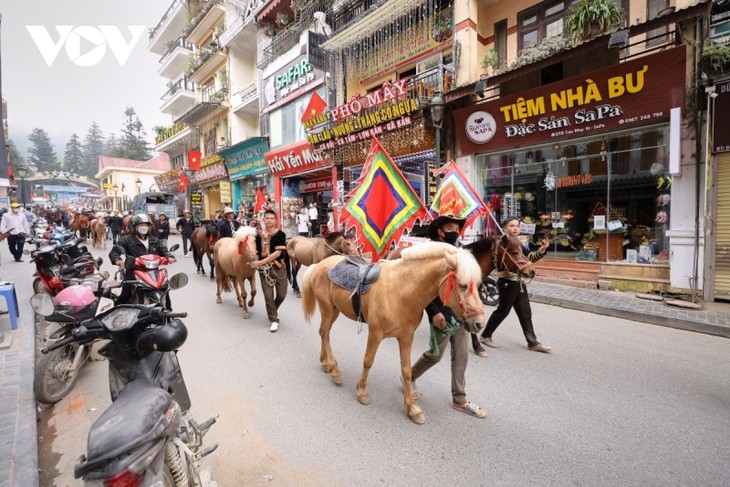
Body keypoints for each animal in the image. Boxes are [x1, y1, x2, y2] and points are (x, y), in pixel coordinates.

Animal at [298, 242, 486, 426]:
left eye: (477, 286)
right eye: (462, 286)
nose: (479, 323)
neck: (400, 291)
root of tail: (319, 265)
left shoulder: (406, 337)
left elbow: (406, 371)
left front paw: (412, 409)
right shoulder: (375, 334)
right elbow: (368, 361)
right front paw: (362, 392)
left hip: (334, 309)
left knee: (324, 332)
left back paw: (326, 364)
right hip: (327, 308)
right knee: (325, 334)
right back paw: (335, 370)